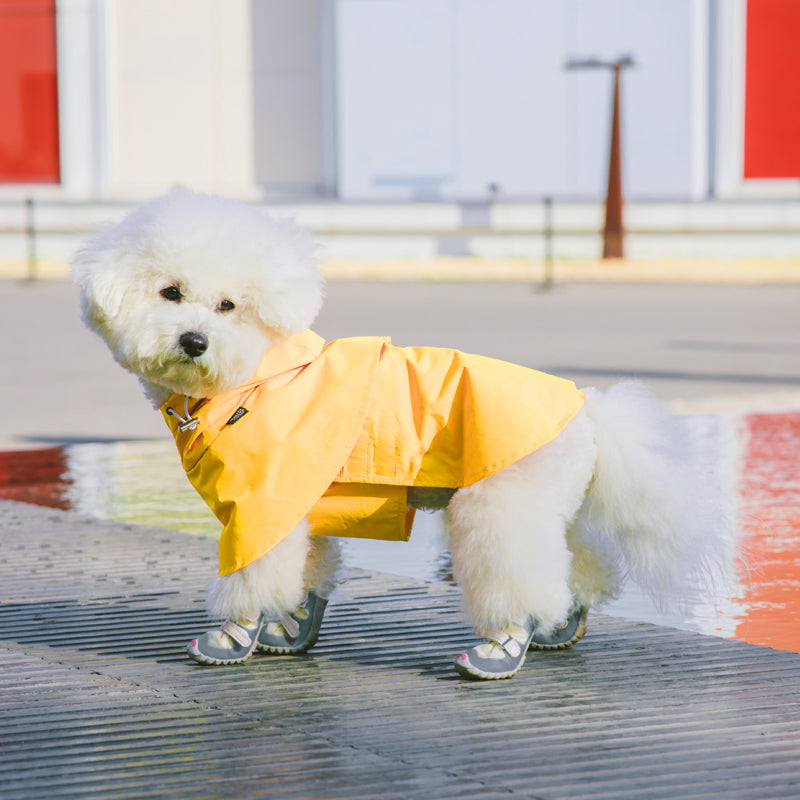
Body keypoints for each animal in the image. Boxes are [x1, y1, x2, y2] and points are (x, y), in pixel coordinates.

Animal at [73, 189, 724, 680]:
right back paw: (562, 624)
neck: (258, 376)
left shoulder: (263, 508)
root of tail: (590, 411)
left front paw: (234, 636)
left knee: (519, 577)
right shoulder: (300, 509)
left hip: (502, 504)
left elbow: (254, 575)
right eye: (171, 293)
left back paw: (501, 648)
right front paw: (291, 629)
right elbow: (309, 571)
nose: (194, 341)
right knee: (575, 566)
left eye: (228, 305)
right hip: (548, 504)